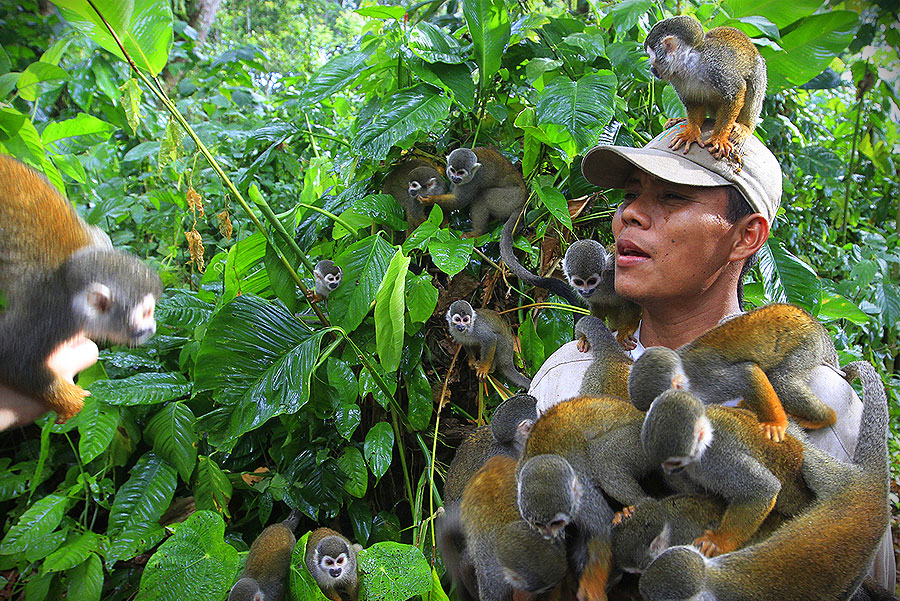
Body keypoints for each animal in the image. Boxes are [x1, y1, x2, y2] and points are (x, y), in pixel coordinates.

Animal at [0, 155, 162, 426]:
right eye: (145, 313)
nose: (151, 328)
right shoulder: (51, 313)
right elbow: (11, 358)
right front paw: (70, 402)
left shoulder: (99, 241)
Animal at [628, 304, 840, 440]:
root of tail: (812, 320)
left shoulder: (707, 380)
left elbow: (748, 373)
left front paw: (775, 424)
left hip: (808, 345)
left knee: (782, 381)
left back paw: (824, 418)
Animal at [640, 390, 816, 556]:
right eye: (663, 462)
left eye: (674, 462)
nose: (668, 470)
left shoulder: (717, 459)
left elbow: (763, 489)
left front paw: (717, 542)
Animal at [648, 14, 768, 159]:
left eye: (650, 56)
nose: (652, 69)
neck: (689, 63)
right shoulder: (677, 78)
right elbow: (693, 101)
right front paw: (692, 132)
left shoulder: (715, 66)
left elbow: (736, 92)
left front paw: (720, 138)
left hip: (759, 67)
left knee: (755, 80)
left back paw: (745, 127)